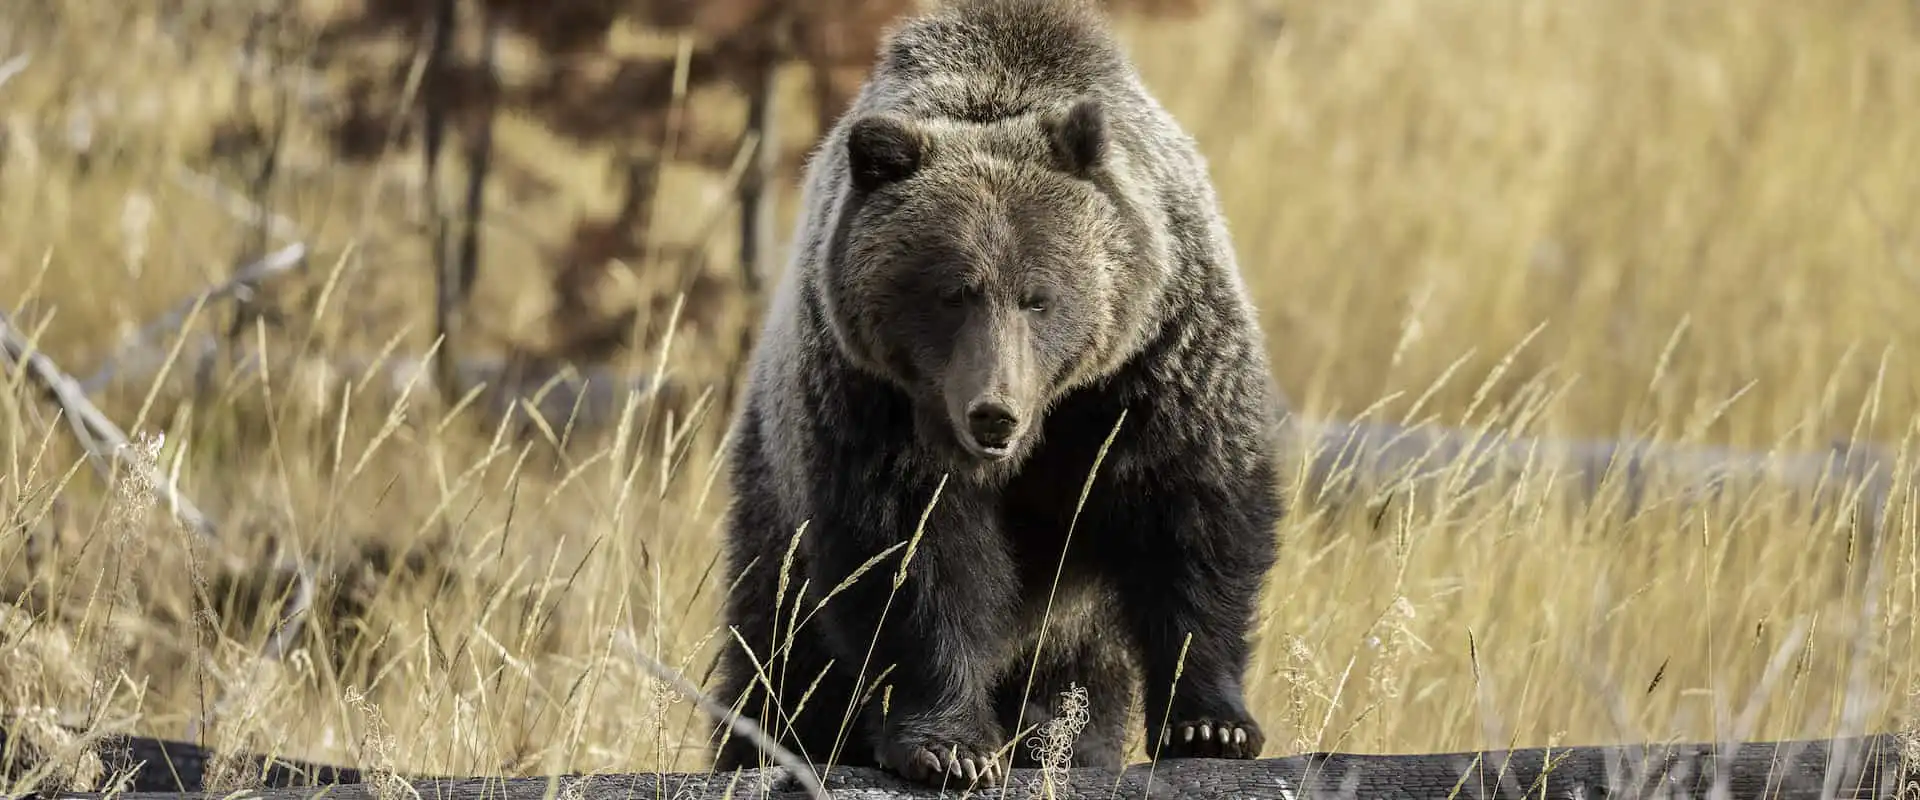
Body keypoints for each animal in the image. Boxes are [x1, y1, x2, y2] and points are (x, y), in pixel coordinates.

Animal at [707, 0, 1283, 788]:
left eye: (1039, 296)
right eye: (952, 293)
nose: (993, 414)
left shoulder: (1159, 363)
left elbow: (1196, 518)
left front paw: (1210, 725)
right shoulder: (877, 399)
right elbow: (912, 557)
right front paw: (950, 747)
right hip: (773, 493)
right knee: (781, 646)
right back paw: (767, 741)